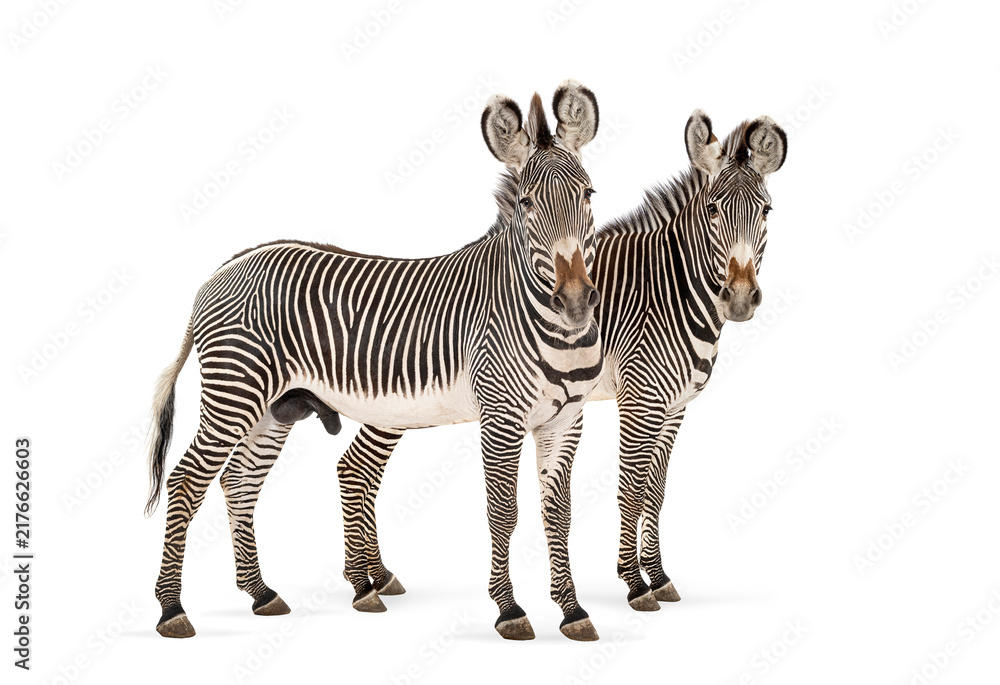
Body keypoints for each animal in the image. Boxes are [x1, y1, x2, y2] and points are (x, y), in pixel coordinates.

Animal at [144, 81, 605, 641]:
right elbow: (503, 513)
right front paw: (510, 609)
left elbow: (558, 515)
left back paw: (261, 593)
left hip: (273, 407)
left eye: (588, 195)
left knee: (239, 483)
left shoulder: (566, 421)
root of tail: (221, 270)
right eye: (527, 202)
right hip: (235, 393)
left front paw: (573, 610)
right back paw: (171, 609)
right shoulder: (501, 416)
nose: (576, 300)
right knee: (187, 480)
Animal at [269, 108, 788, 613]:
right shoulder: (641, 398)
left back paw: (375, 578)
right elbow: (633, 488)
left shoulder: (676, 406)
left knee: (356, 468)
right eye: (713, 210)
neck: (672, 289)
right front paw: (635, 583)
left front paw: (658, 577)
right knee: (357, 469)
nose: (741, 298)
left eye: (765, 211)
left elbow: (656, 493)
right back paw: (365, 582)